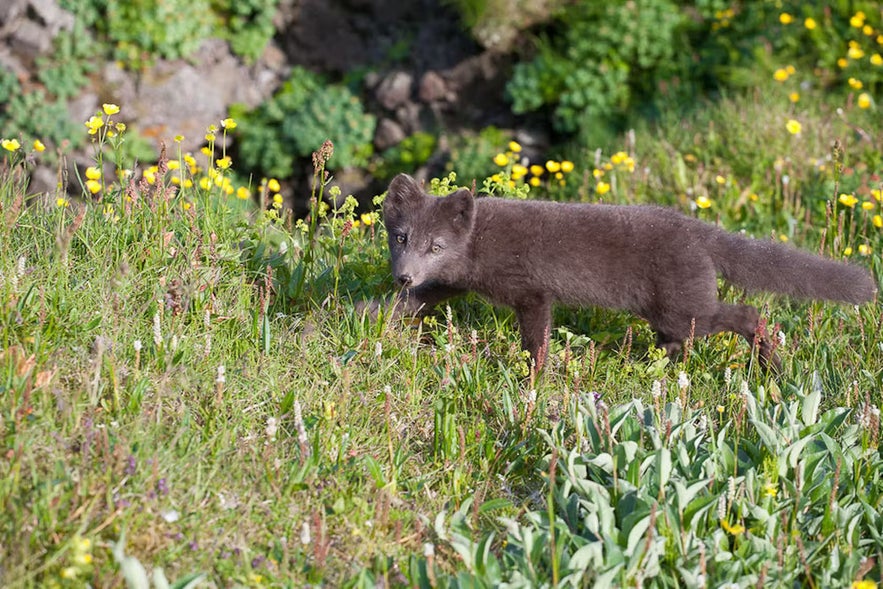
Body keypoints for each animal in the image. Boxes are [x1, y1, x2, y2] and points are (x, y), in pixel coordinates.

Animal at [386, 172, 876, 366]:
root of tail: (702, 232)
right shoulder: (452, 283)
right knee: (682, 339)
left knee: (749, 314)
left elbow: (536, 341)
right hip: (668, 313)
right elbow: (410, 304)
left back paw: (769, 368)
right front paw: (375, 317)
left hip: (682, 308)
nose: (404, 274)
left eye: (436, 245)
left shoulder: (532, 293)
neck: (478, 243)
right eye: (402, 238)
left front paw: (531, 380)